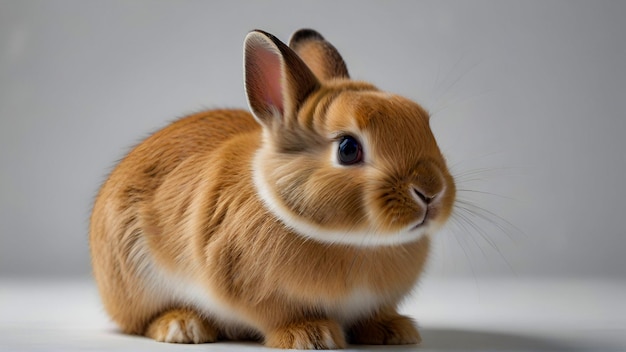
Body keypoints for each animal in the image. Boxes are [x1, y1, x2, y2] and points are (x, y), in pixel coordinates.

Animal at [89, 28, 454, 350]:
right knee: (140, 320)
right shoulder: (255, 293)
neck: (356, 241)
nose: (431, 192)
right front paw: (310, 336)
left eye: (425, 124)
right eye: (348, 149)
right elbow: (278, 316)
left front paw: (395, 330)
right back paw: (183, 325)